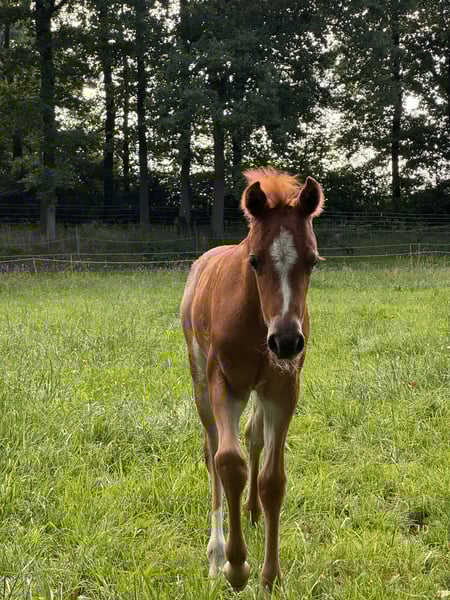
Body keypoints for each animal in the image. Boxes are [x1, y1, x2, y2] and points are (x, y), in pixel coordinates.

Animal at [180, 167, 324, 592]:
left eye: (312, 261)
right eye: (255, 260)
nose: (287, 341)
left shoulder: (283, 389)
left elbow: (272, 479)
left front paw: (271, 575)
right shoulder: (224, 384)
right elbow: (229, 463)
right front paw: (236, 566)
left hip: (260, 389)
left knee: (254, 436)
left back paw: (252, 511)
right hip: (200, 382)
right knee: (212, 451)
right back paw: (215, 553)